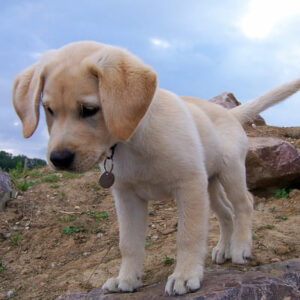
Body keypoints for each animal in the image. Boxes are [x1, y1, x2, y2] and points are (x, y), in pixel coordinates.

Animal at [11, 41, 300, 296]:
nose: (58, 159)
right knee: (226, 213)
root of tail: (229, 113)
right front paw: (126, 279)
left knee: (244, 204)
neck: (132, 139)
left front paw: (185, 275)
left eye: (89, 109)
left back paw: (240, 248)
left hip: (230, 173)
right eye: (48, 109)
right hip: (209, 183)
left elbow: (188, 236)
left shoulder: (189, 185)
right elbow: (129, 243)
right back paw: (223, 249)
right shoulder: (127, 197)